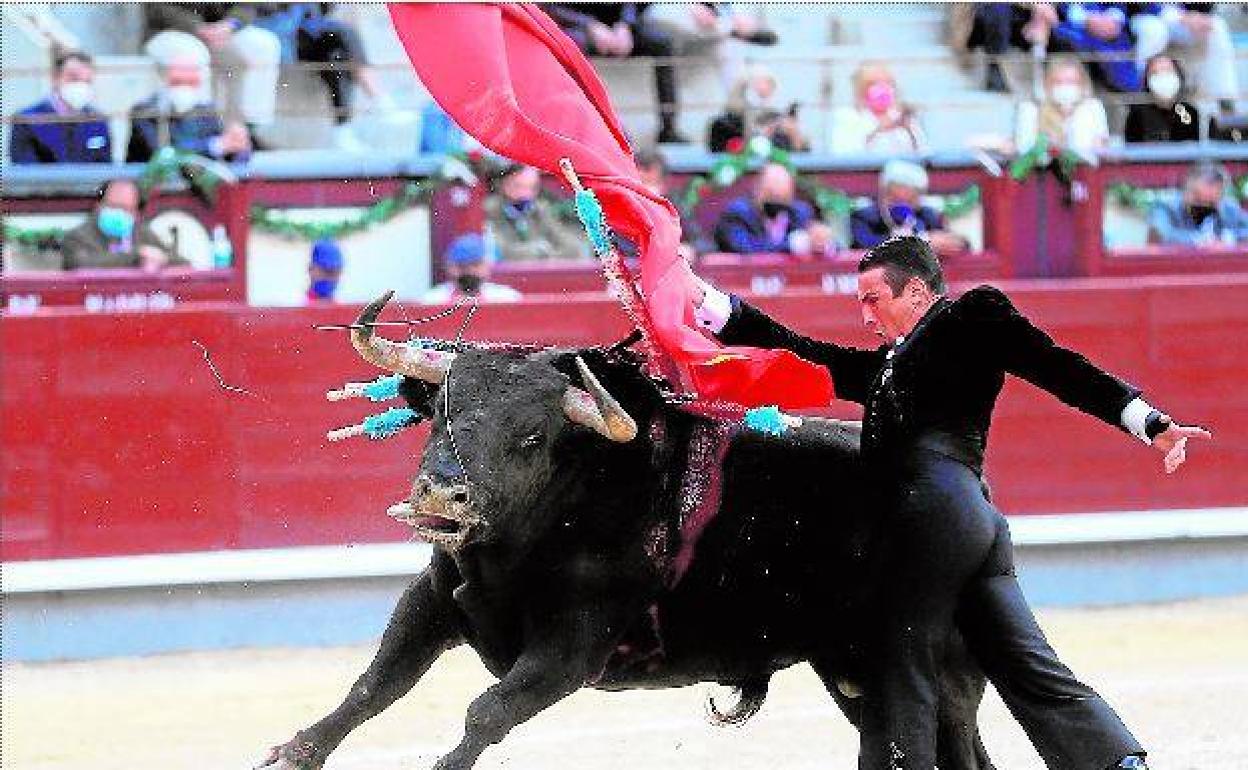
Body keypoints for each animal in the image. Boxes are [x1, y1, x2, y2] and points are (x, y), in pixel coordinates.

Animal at [260, 300, 993, 768]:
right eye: (441, 411)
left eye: (532, 437)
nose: (441, 493)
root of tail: (975, 493)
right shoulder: (434, 598)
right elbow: (373, 685)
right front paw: (293, 753)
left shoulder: (572, 647)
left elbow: (487, 711)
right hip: (849, 671)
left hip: (934, 669)